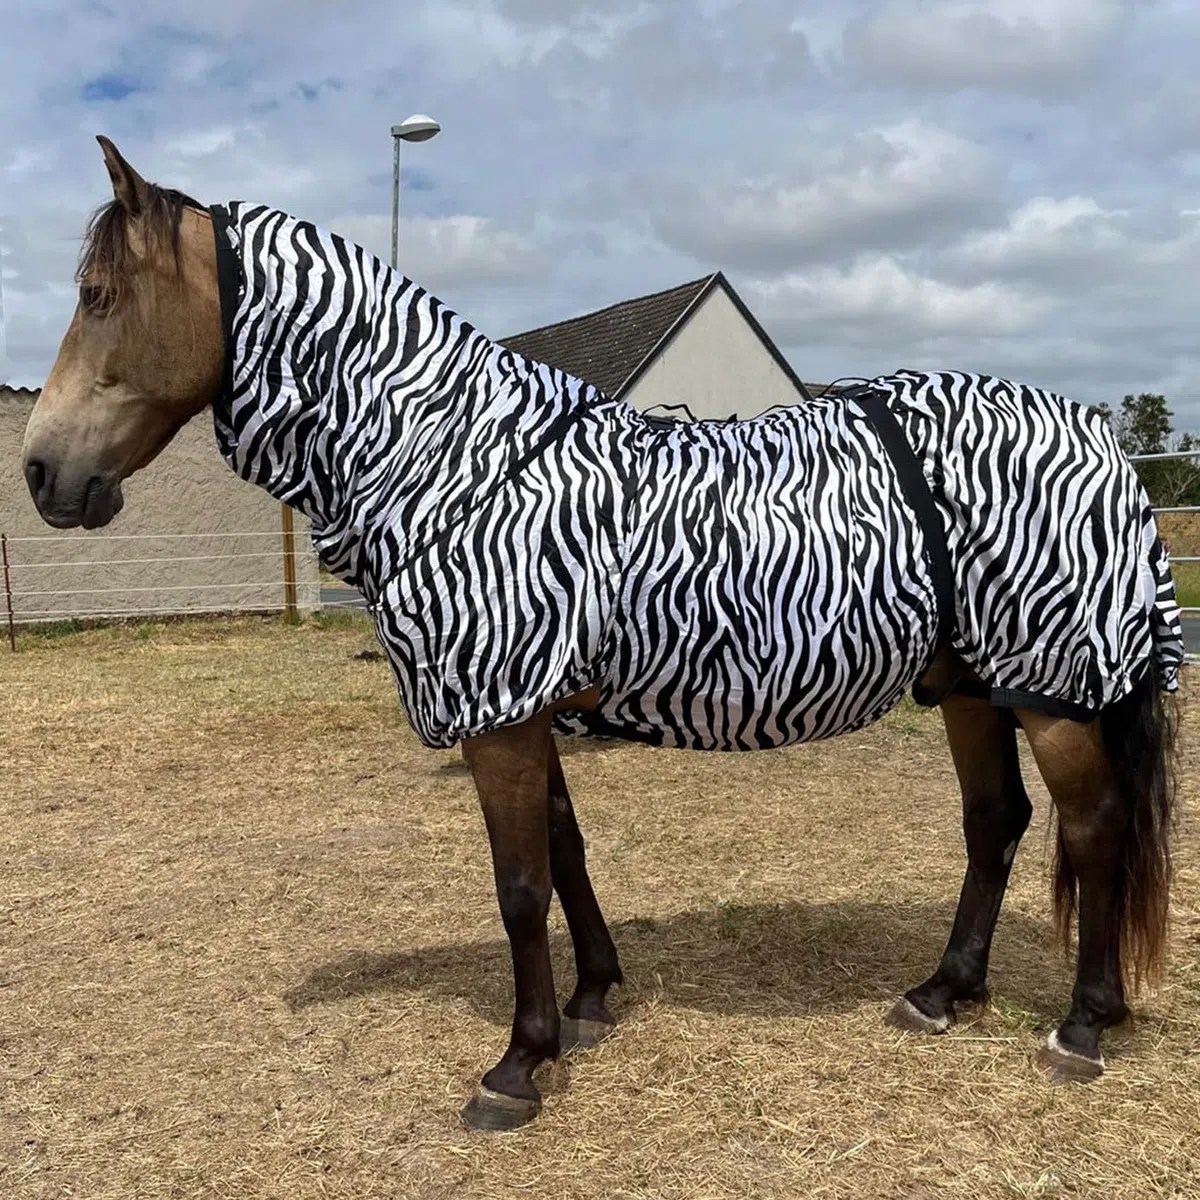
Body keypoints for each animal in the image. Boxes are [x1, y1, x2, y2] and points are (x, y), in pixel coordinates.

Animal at [22, 136, 1184, 1131]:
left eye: (98, 297)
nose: (41, 473)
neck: (454, 462)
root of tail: (1095, 436)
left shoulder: (498, 710)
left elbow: (519, 884)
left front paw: (517, 1064)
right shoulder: (529, 703)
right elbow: (565, 853)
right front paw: (590, 1003)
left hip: (1051, 690)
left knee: (1093, 829)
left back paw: (1083, 1025)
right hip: (975, 684)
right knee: (996, 823)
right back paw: (945, 992)